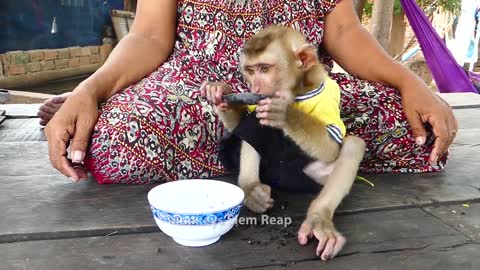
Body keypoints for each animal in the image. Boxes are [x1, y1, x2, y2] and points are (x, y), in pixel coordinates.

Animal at [201, 25, 366, 262]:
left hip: (311, 178)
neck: (298, 90)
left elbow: (331, 149)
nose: (256, 88)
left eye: (264, 69)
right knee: (253, 126)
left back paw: (319, 217)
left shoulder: (325, 95)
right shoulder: (255, 102)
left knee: (353, 146)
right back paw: (251, 189)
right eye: (250, 71)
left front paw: (286, 114)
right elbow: (243, 123)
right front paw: (219, 91)